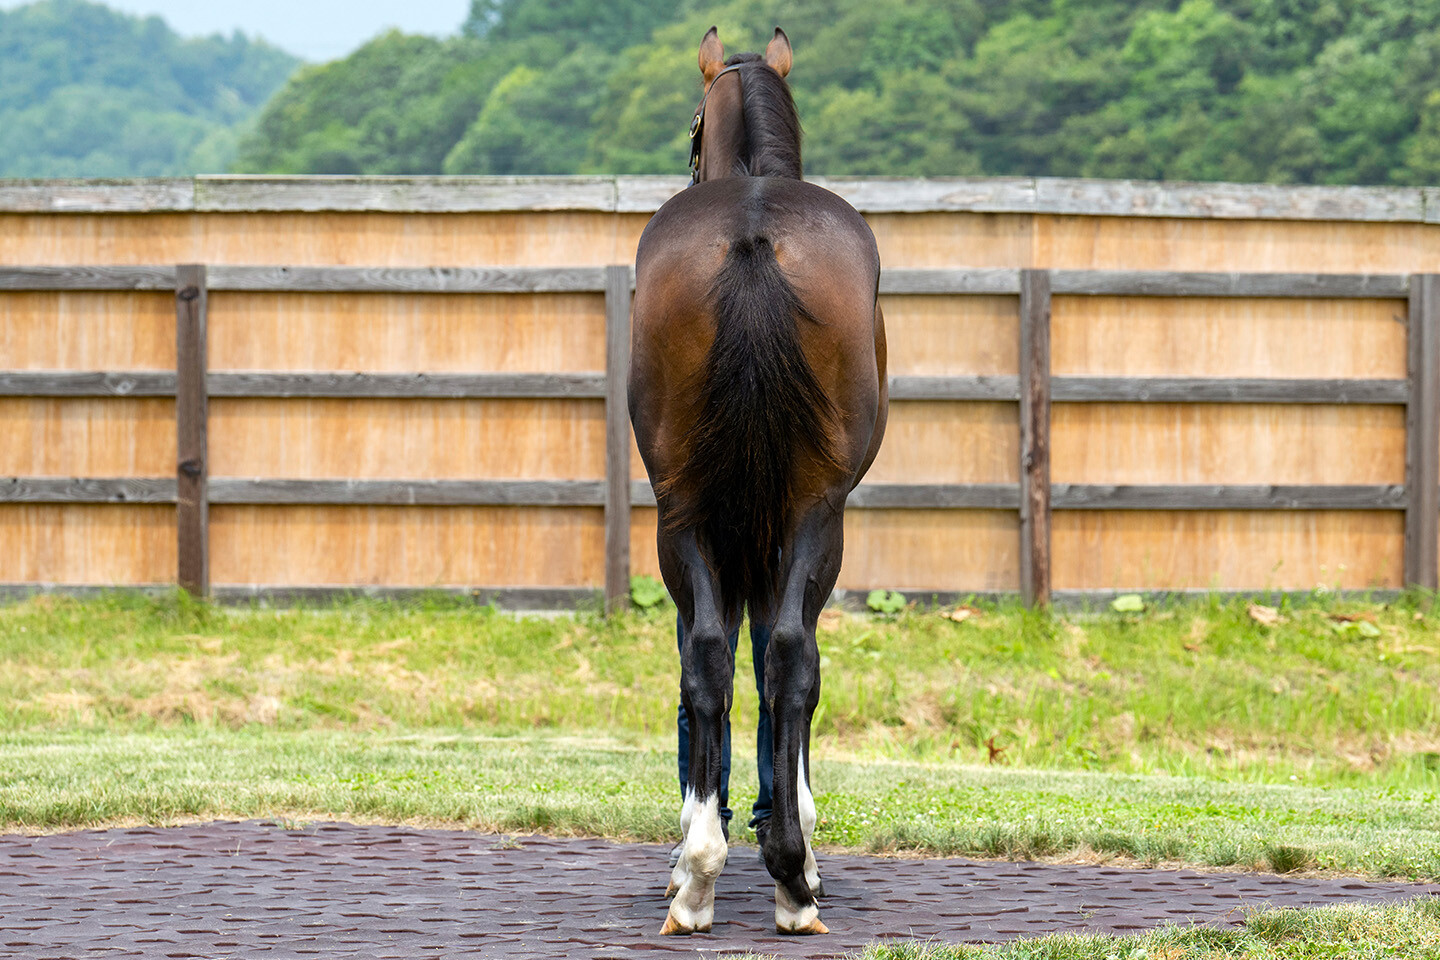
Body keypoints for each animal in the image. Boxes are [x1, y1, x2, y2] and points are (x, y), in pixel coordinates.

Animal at [630, 24, 887, 938]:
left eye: (690, 131)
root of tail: (751, 235)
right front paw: (791, 836)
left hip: (691, 516)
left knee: (720, 655)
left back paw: (707, 875)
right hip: (808, 512)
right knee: (781, 654)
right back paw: (769, 876)